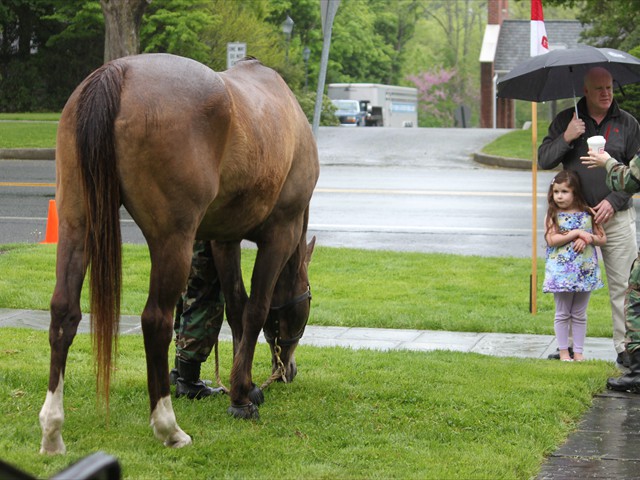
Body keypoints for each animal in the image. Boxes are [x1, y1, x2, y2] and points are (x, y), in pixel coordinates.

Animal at [38, 53, 319, 454]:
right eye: (308, 301)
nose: (287, 372)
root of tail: (119, 71)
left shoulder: (223, 239)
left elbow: (236, 307)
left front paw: (245, 384)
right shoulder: (281, 233)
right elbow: (255, 309)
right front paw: (242, 397)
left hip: (78, 224)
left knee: (64, 312)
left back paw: (52, 431)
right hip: (173, 240)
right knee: (156, 320)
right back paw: (168, 427)